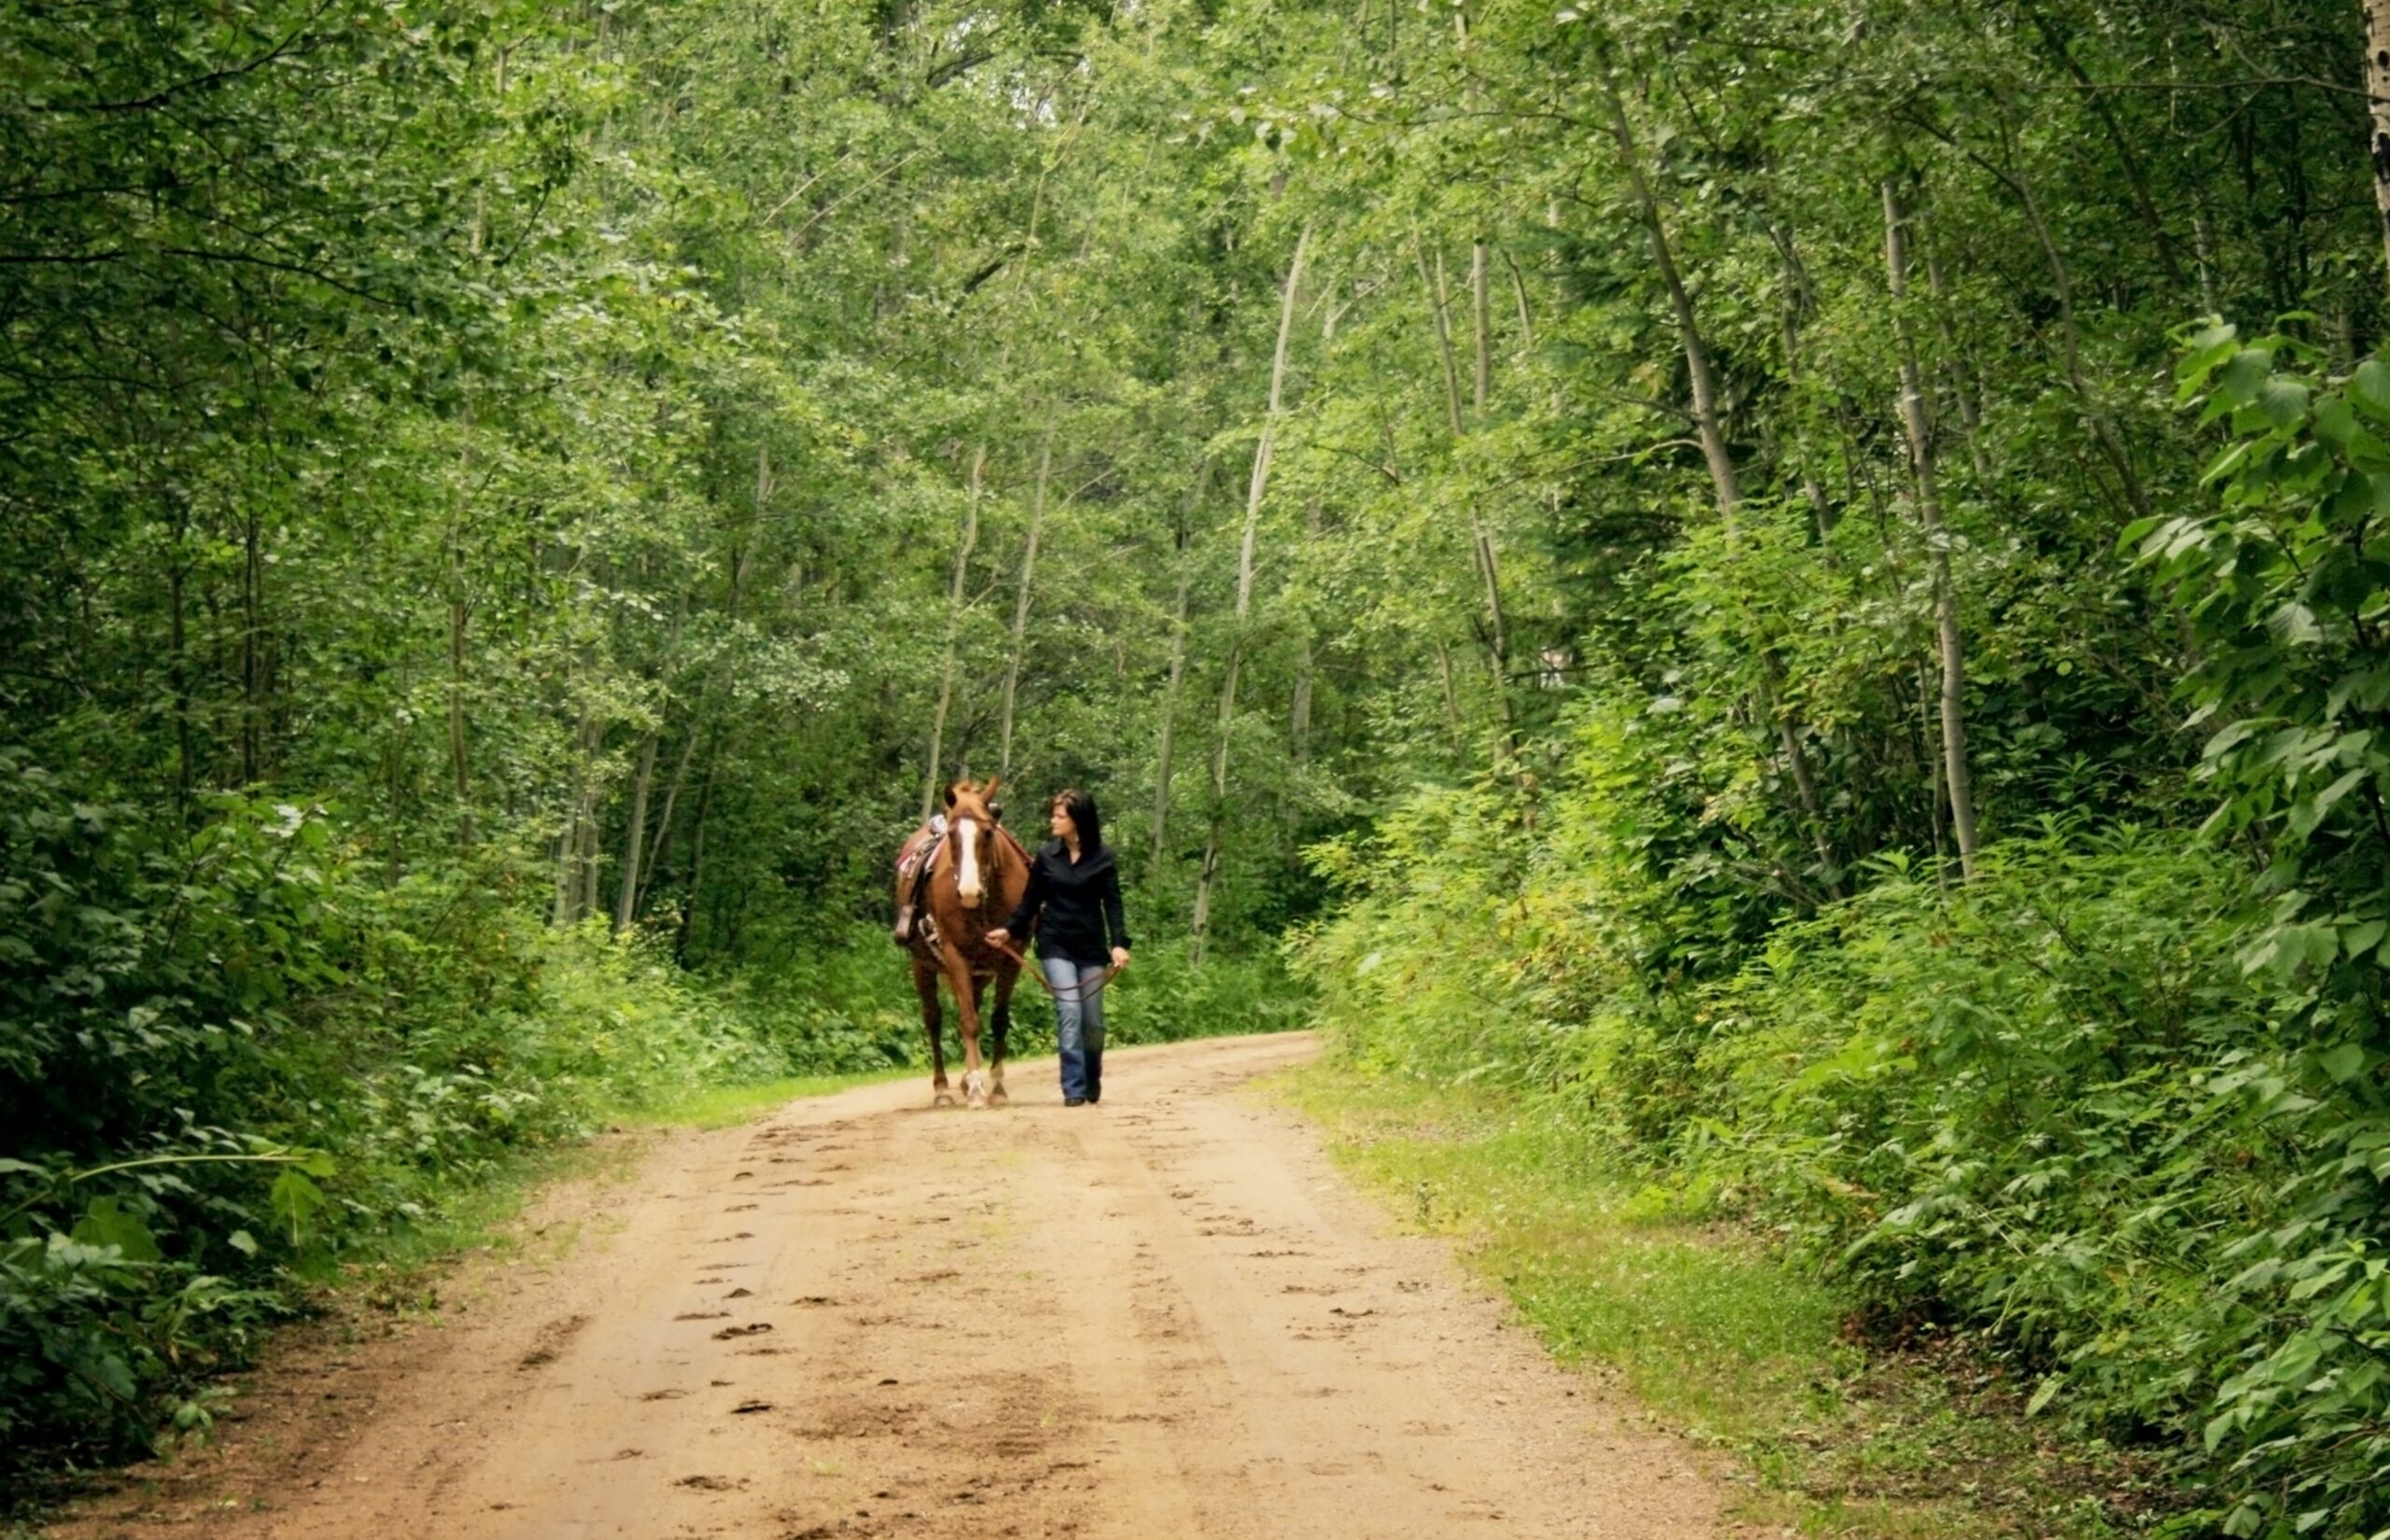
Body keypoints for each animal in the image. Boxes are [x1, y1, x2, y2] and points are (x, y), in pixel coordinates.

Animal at [895, 778, 1030, 1109]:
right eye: (952, 836)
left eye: (988, 832)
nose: (968, 892)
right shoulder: (954, 956)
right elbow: (968, 1021)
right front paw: (978, 1090)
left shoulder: (1012, 958)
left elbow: (998, 1019)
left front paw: (996, 1088)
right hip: (923, 965)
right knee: (934, 1019)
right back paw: (943, 1089)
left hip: (979, 973)